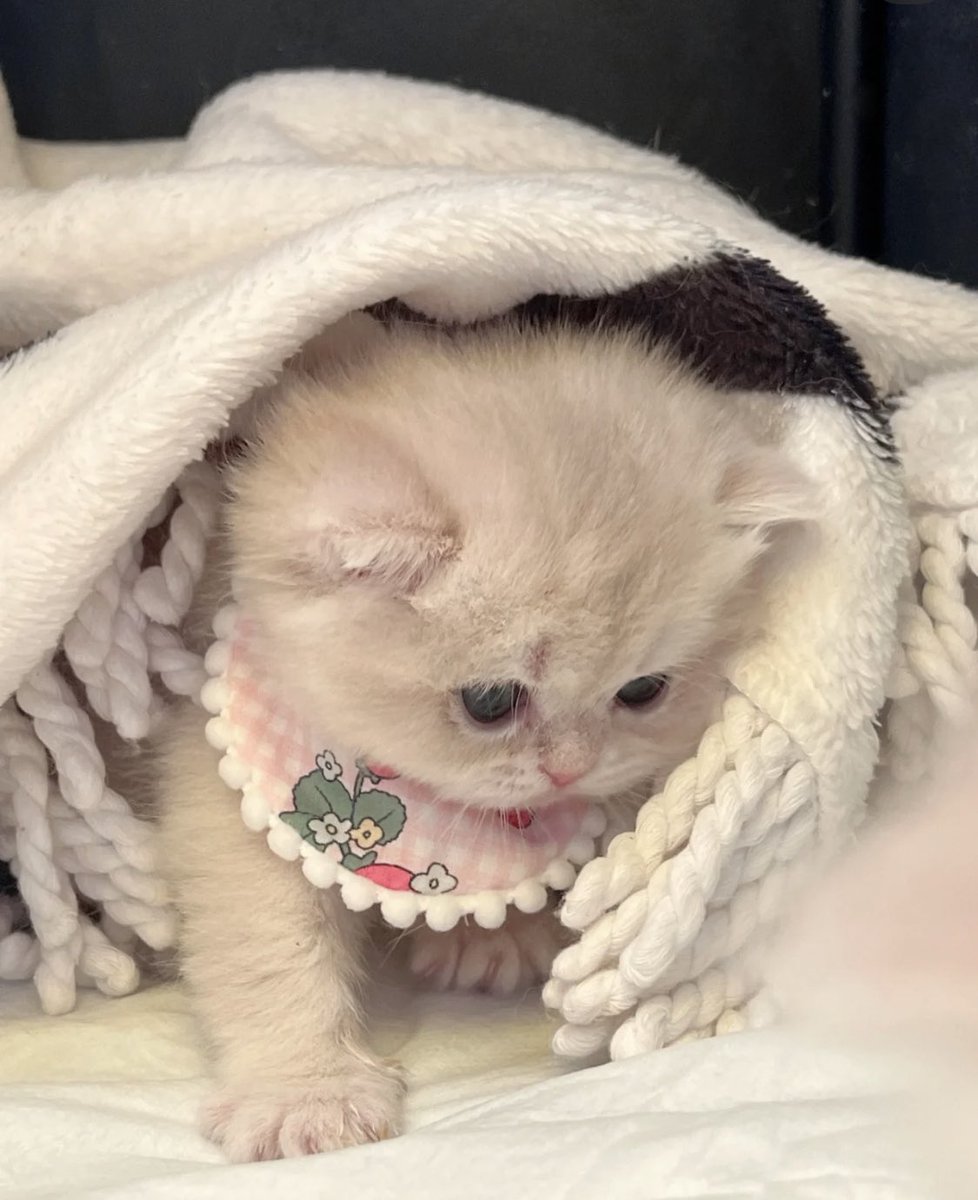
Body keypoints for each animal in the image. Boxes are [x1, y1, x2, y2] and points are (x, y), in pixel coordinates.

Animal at [155, 317, 816, 1161]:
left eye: (642, 692)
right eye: (491, 701)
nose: (570, 769)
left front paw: (497, 937)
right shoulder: (221, 784)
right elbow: (267, 942)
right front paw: (306, 1093)